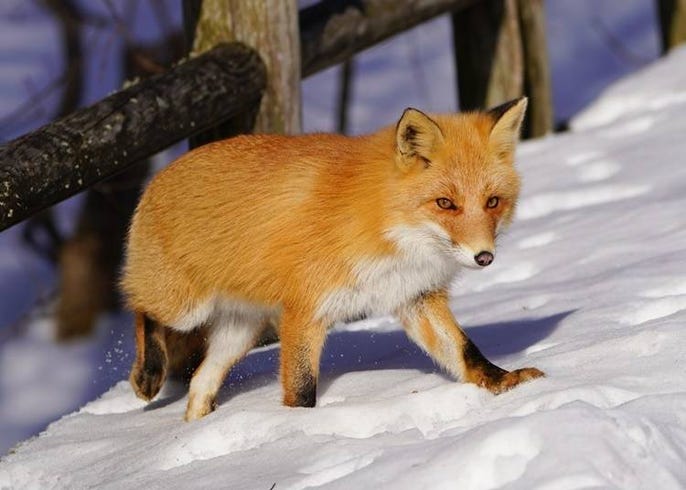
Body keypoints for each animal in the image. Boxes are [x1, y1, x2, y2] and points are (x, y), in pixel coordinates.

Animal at [122, 96, 544, 422]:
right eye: (445, 203)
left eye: (493, 202)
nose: (484, 256)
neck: (389, 231)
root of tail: (157, 177)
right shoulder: (305, 310)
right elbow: (301, 389)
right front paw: (298, 428)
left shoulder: (415, 296)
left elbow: (464, 351)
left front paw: (503, 383)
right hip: (185, 308)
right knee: (140, 307)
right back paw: (148, 374)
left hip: (241, 331)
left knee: (200, 381)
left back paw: (197, 429)